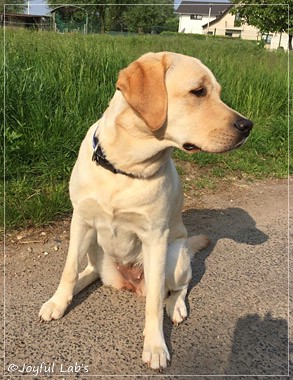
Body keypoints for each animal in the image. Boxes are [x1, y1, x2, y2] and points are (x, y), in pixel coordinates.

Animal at [40, 52, 252, 370]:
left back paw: (176, 307)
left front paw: (155, 346)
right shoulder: (81, 221)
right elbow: (68, 269)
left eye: (218, 93)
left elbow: (153, 304)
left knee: (177, 287)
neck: (124, 168)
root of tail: (127, 282)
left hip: (174, 256)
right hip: (96, 247)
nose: (247, 126)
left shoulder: (155, 237)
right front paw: (58, 301)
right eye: (198, 91)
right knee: (88, 271)